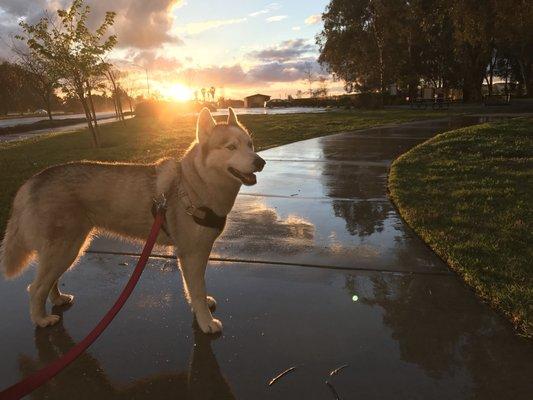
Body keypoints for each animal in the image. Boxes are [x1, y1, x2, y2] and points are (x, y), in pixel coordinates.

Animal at [0, 108, 264, 332]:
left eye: (250, 145)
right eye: (231, 147)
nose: (260, 161)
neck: (193, 185)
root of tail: (31, 181)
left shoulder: (198, 251)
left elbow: (195, 288)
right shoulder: (191, 253)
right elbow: (197, 290)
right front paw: (205, 322)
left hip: (67, 249)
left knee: (50, 281)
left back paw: (57, 299)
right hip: (65, 248)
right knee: (35, 288)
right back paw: (41, 319)